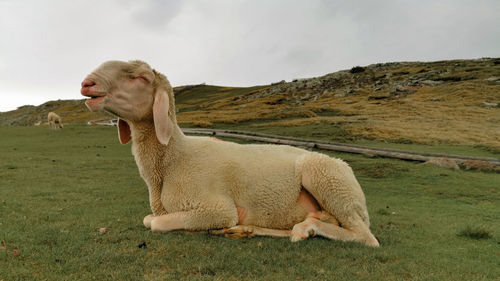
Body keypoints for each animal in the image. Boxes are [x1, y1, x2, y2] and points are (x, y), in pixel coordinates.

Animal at [81, 59, 378, 245]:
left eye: (141, 77)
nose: (87, 83)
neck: (176, 159)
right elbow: (147, 219)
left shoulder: (214, 207)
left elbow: (154, 223)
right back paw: (253, 229)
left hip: (327, 178)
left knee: (364, 236)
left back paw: (307, 228)